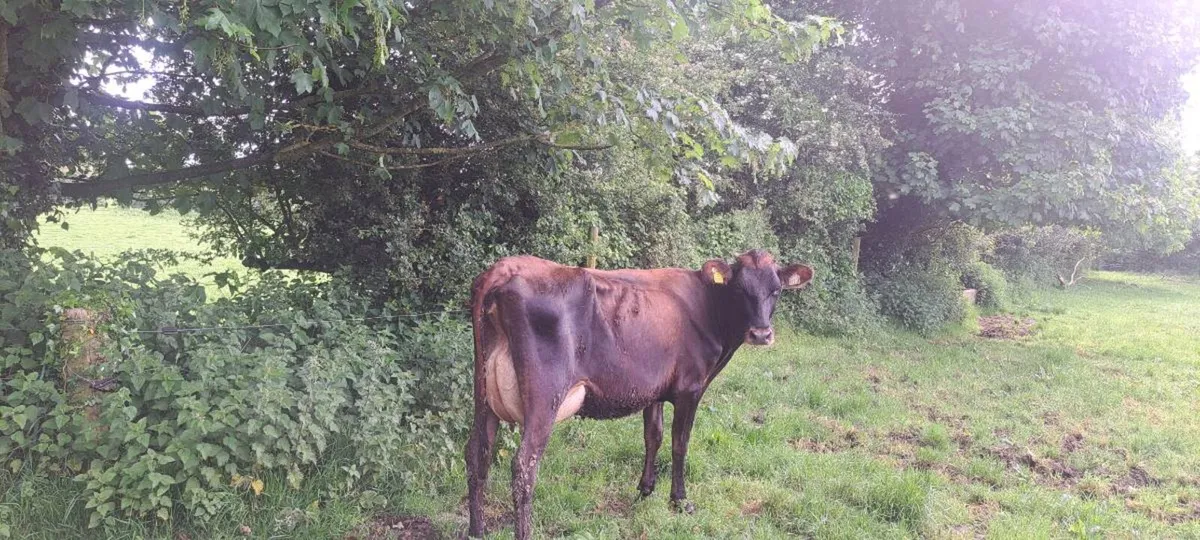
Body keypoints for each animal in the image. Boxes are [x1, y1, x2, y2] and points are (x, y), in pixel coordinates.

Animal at [464, 250, 814, 539]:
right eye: (740, 289)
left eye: (776, 290)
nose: (761, 333)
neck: (709, 308)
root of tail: (504, 268)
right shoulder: (690, 388)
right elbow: (679, 443)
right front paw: (680, 501)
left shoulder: (654, 388)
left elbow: (653, 436)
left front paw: (645, 490)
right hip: (544, 395)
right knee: (524, 466)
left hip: (483, 394)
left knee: (477, 452)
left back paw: (476, 531)